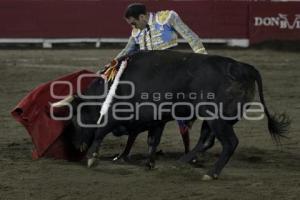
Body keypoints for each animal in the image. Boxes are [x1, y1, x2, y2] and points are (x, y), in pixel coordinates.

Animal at [56, 50, 290, 180]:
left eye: (76, 118)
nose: (76, 146)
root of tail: (243, 67)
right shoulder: (157, 118)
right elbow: (153, 140)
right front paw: (149, 163)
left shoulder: (123, 114)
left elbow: (101, 130)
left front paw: (92, 157)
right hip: (214, 119)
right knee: (206, 140)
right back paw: (183, 161)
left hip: (217, 118)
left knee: (230, 143)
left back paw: (211, 173)